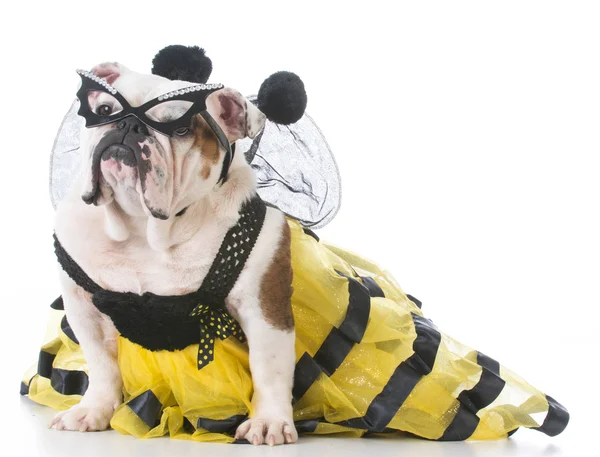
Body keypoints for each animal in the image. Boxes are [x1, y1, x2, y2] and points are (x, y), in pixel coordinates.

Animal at [48, 62, 298, 444]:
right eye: (105, 110)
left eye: (181, 128)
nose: (129, 125)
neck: (143, 229)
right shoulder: (82, 306)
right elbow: (101, 363)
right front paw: (93, 410)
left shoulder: (264, 307)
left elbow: (269, 368)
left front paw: (268, 420)